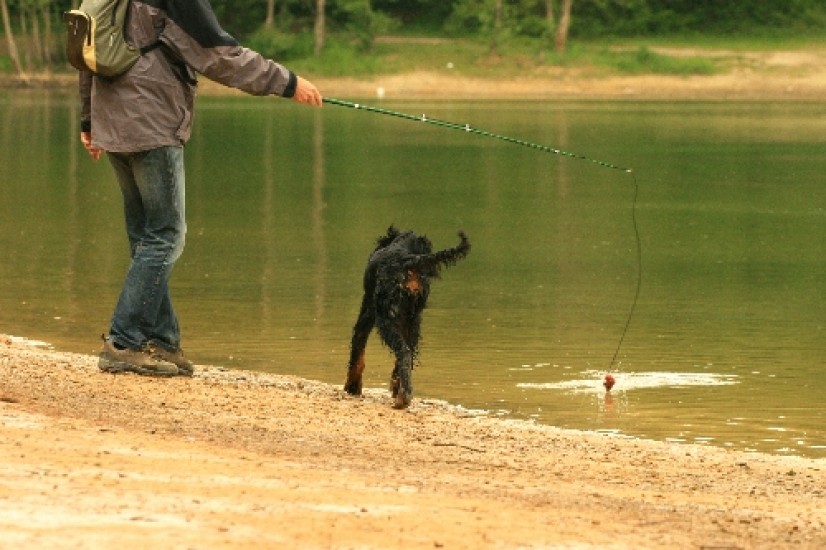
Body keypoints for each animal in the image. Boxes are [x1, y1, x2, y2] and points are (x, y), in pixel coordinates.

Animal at [345, 226, 471, 409]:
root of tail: (409, 261)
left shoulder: (367, 312)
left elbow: (357, 352)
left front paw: (352, 387)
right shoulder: (411, 321)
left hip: (385, 318)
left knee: (403, 351)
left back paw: (402, 398)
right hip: (410, 322)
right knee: (407, 353)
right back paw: (402, 391)